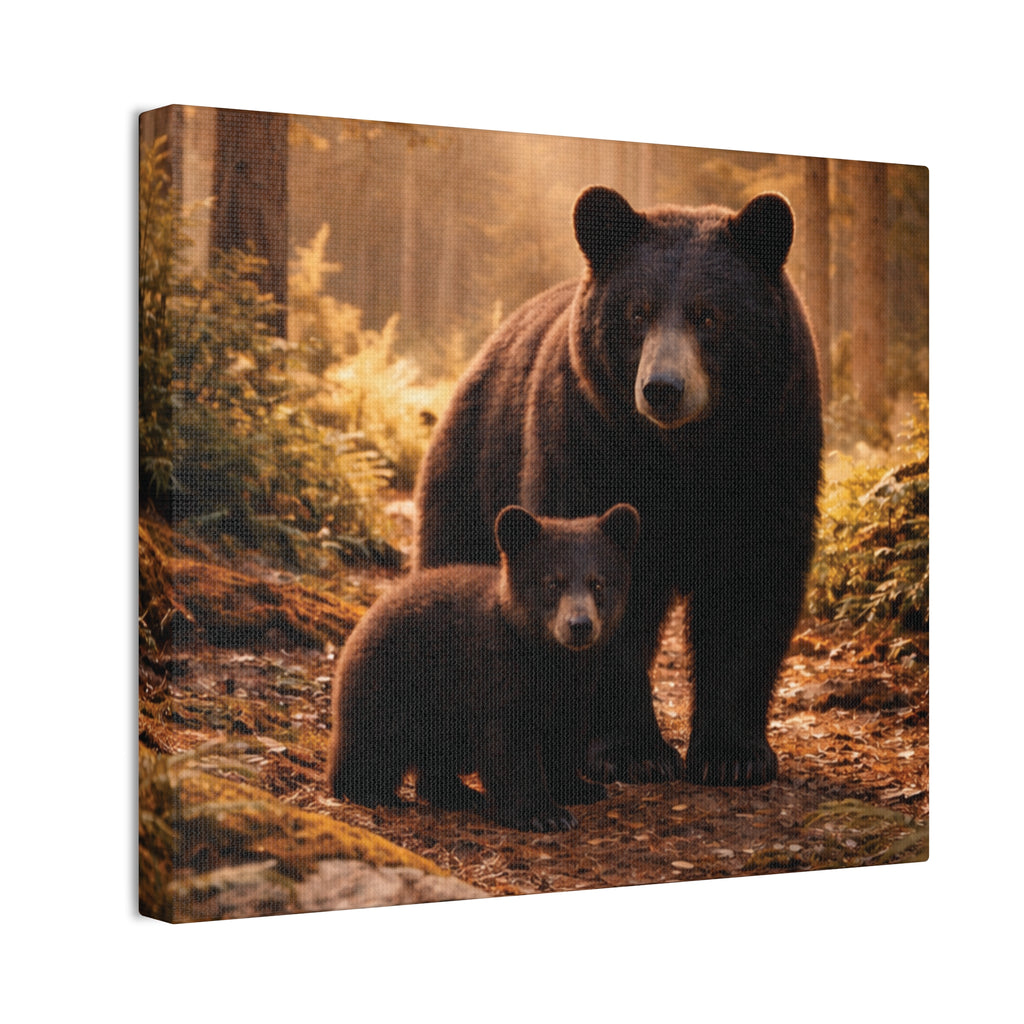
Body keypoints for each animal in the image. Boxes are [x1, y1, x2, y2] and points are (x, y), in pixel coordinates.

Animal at [328, 502, 640, 831]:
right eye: (552, 582)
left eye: (598, 582)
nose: (579, 625)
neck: (547, 657)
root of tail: (368, 613)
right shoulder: (494, 675)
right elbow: (509, 744)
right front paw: (544, 813)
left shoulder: (576, 685)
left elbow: (563, 735)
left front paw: (579, 787)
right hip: (393, 686)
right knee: (372, 744)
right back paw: (371, 791)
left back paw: (459, 793)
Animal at [414, 186, 823, 787]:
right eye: (638, 312)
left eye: (709, 314)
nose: (663, 388)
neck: (685, 454)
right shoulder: (591, 440)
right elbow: (595, 575)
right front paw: (634, 752)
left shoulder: (773, 450)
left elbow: (750, 585)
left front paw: (734, 755)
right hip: (473, 471)